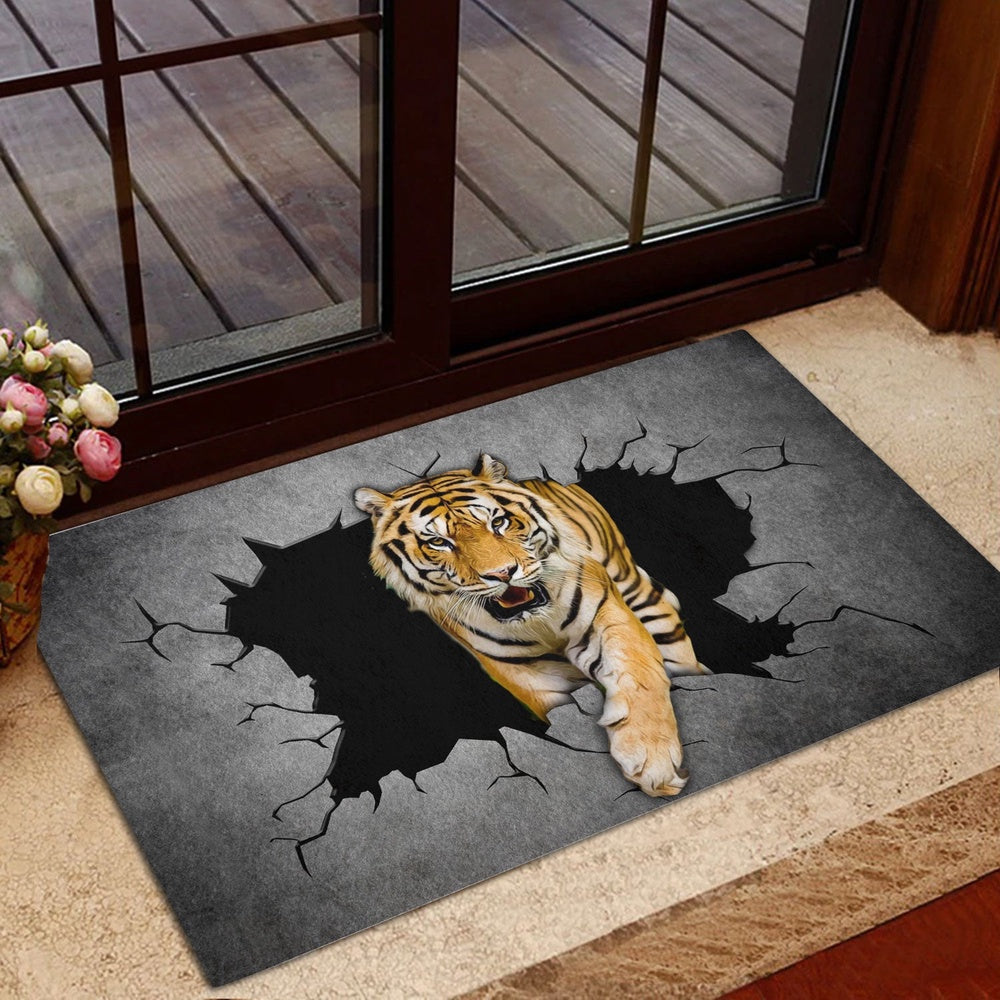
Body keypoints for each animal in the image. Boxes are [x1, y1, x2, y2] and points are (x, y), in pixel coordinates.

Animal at [353, 454, 710, 797]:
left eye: (498, 522)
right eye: (439, 542)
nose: (502, 573)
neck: (539, 621)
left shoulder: (606, 616)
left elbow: (639, 678)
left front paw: (653, 762)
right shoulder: (528, 672)